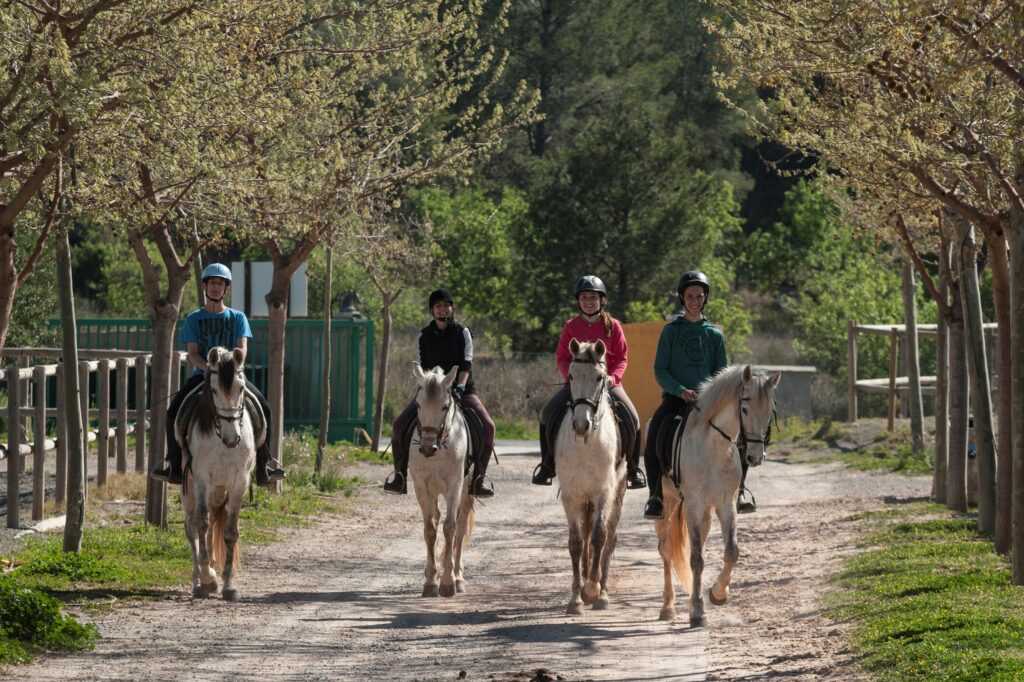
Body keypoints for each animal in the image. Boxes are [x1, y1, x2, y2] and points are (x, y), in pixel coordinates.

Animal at [179, 348, 262, 598]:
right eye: (214, 390)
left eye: (241, 388)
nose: (232, 437)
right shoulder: (201, 480)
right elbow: (202, 524)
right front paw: (208, 579)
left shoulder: (239, 484)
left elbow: (230, 531)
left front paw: (228, 584)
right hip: (190, 491)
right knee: (192, 527)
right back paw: (198, 582)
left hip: (219, 491)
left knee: (212, 523)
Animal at [407, 360, 475, 593]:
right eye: (418, 405)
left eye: (444, 407)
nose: (428, 448)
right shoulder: (421, 487)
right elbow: (430, 529)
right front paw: (430, 581)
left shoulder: (454, 486)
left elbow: (450, 528)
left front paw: (447, 583)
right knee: (436, 519)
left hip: (466, 489)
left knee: (460, 527)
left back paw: (459, 577)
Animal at [655, 364, 774, 622]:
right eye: (745, 409)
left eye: (769, 412)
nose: (755, 457)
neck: (715, 448)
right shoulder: (693, 505)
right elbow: (696, 559)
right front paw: (697, 611)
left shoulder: (725, 504)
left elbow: (731, 552)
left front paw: (718, 594)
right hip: (667, 504)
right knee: (666, 550)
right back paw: (667, 607)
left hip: (706, 513)